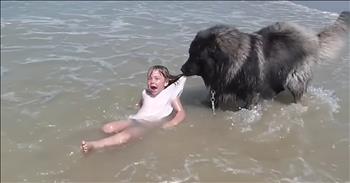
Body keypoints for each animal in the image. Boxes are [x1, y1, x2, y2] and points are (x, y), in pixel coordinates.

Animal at [182, 11, 350, 111]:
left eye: (196, 56)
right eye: (190, 53)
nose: (182, 69)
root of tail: (314, 38)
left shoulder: (251, 93)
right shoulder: (221, 88)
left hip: (294, 78)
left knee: (296, 91)